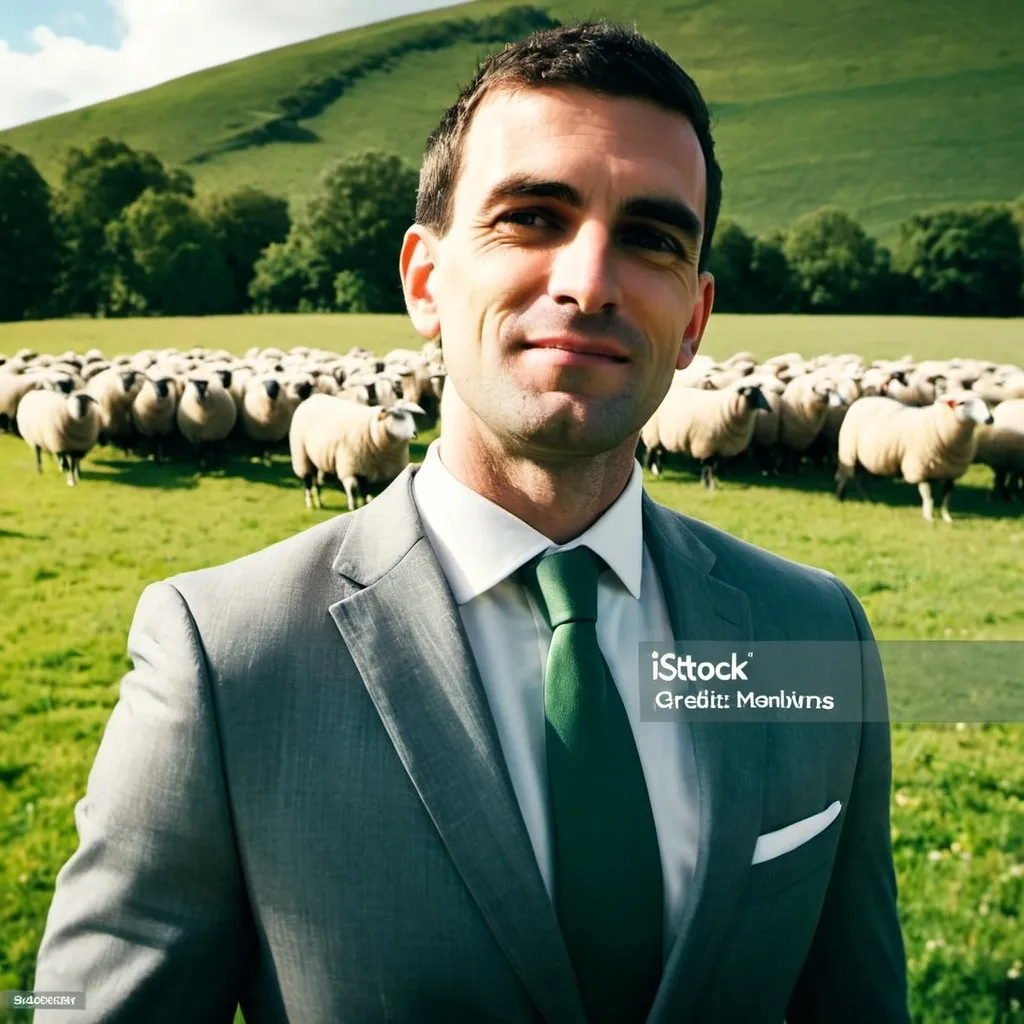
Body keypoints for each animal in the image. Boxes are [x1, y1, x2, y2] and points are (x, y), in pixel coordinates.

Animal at [290, 395, 425, 516]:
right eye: (398, 416)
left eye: (411, 415)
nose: (415, 433)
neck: (373, 431)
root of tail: (310, 399)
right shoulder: (351, 467)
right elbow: (353, 490)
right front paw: (353, 506)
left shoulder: (372, 470)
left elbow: (365, 491)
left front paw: (364, 505)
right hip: (301, 455)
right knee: (307, 480)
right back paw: (310, 503)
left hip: (314, 458)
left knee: (315, 480)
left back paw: (319, 502)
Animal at [835, 389, 995, 524]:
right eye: (962, 403)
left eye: (985, 402)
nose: (990, 419)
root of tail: (863, 399)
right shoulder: (920, 468)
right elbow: (927, 496)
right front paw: (929, 517)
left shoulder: (951, 472)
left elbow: (947, 497)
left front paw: (947, 517)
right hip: (848, 453)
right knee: (845, 476)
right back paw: (840, 497)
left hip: (864, 460)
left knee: (861, 479)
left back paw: (868, 499)